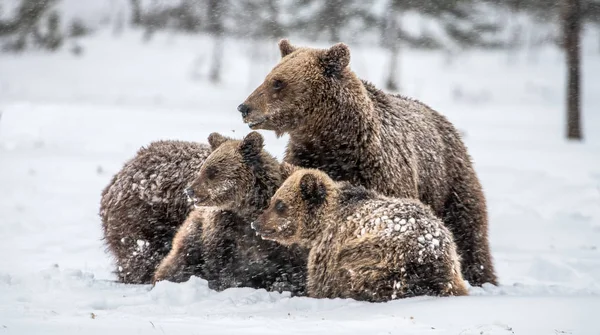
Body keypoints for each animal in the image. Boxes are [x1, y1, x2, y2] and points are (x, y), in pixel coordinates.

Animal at [239, 38, 496, 286]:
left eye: (278, 82)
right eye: (269, 77)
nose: (244, 107)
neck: (331, 140)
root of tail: (441, 119)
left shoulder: (380, 173)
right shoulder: (307, 159)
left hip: (449, 180)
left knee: (469, 231)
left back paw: (481, 276)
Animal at [253, 169, 468, 304]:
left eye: (280, 204)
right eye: (273, 200)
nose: (256, 223)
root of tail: (426, 254)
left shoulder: (329, 247)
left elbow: (321, 283)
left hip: (378, 255)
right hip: (450, 263)